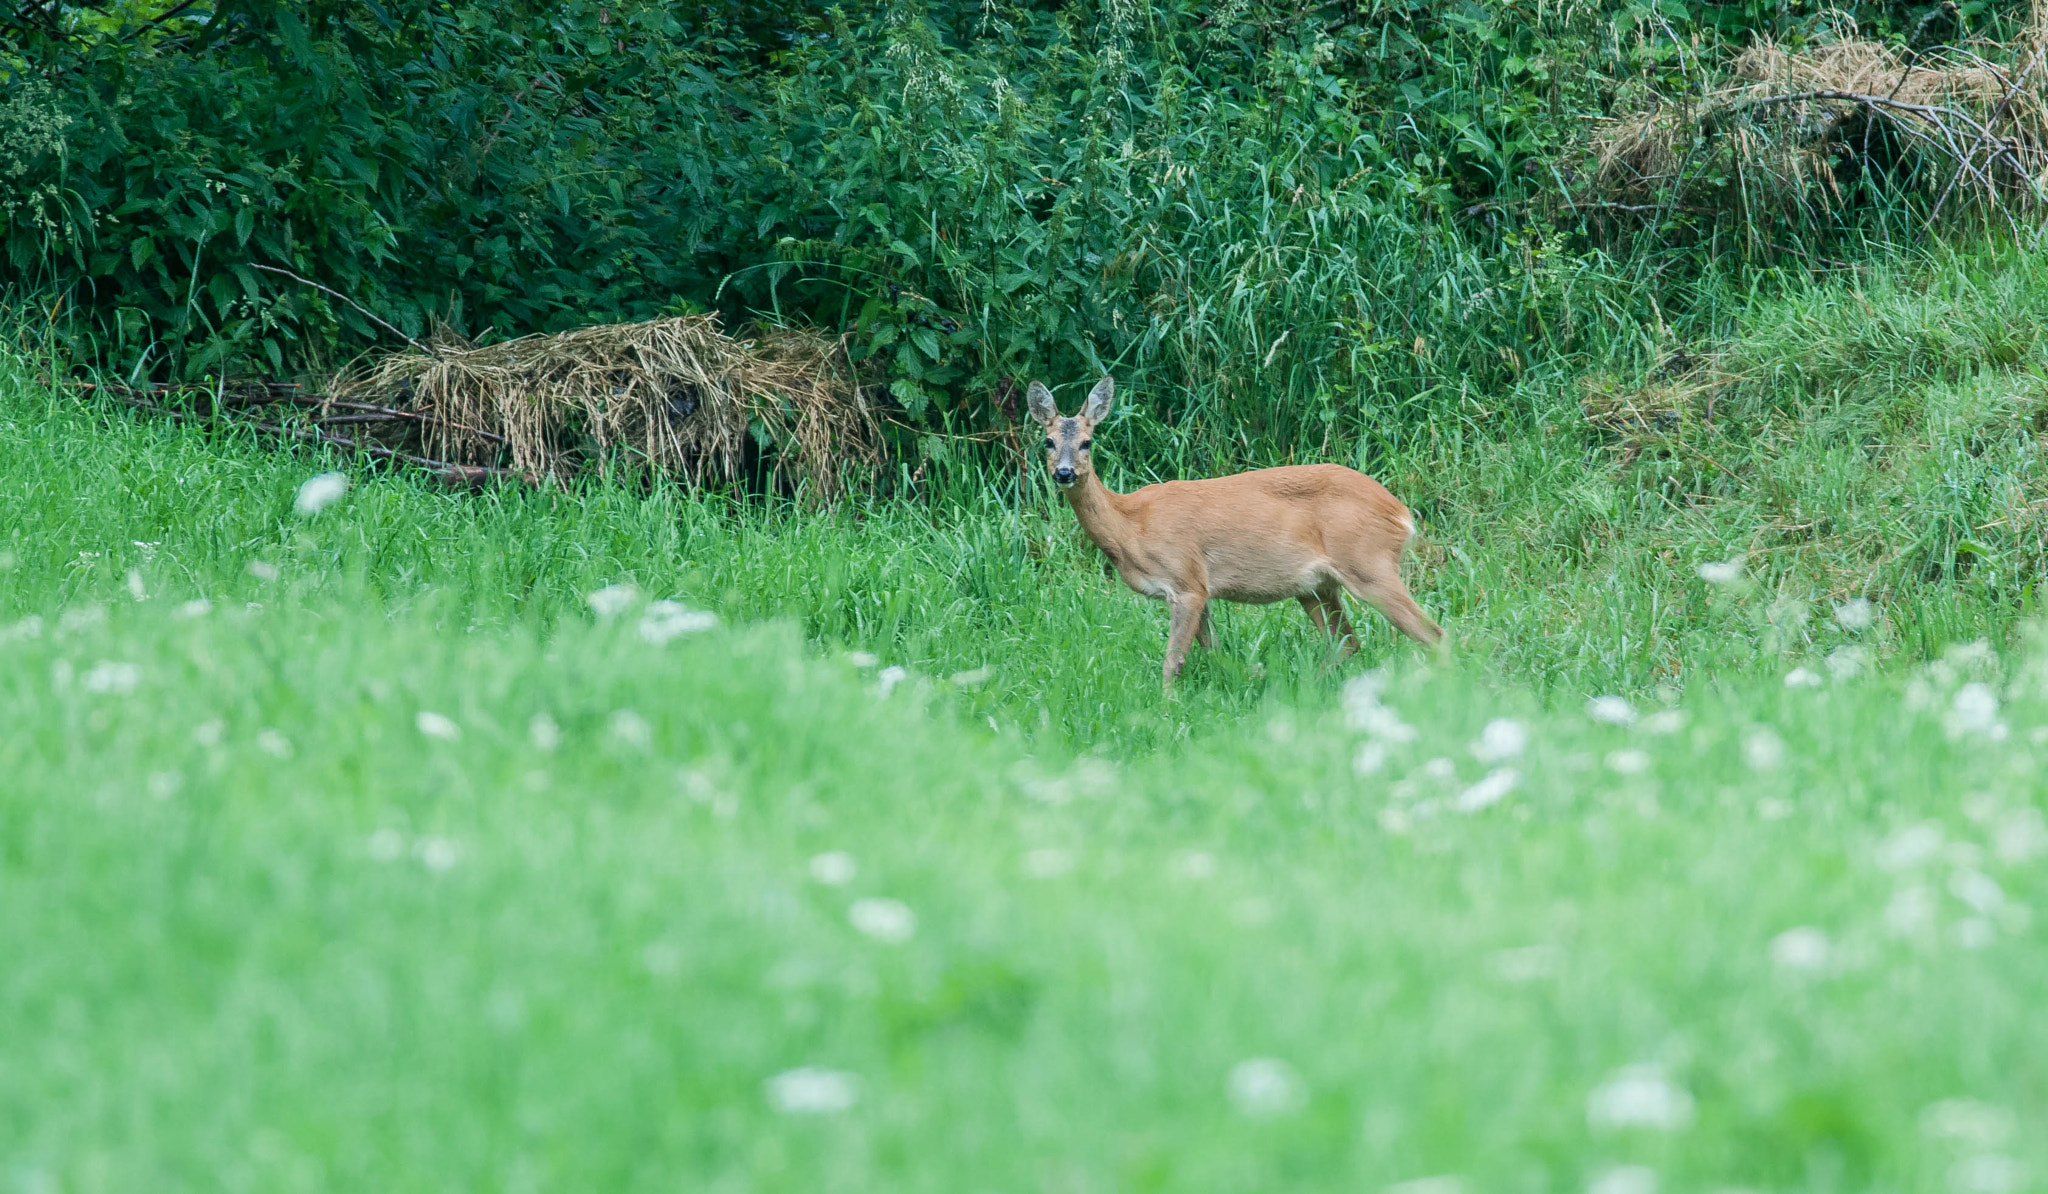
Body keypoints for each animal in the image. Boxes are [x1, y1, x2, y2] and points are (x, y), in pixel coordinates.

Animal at [1024, 378, 1441, 688]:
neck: (1131, 527)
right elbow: (1213, 651)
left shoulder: (1186, 581)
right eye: (1048, 441)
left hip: (1369, 564)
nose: (1064, 473)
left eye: (1087, 442)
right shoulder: (1202, 591)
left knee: (1433, 633)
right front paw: (1249, 675)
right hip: (1316, 587)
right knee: (1349, 643)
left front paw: (1167, 708)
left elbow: (1173, 660)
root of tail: (1400, 513)